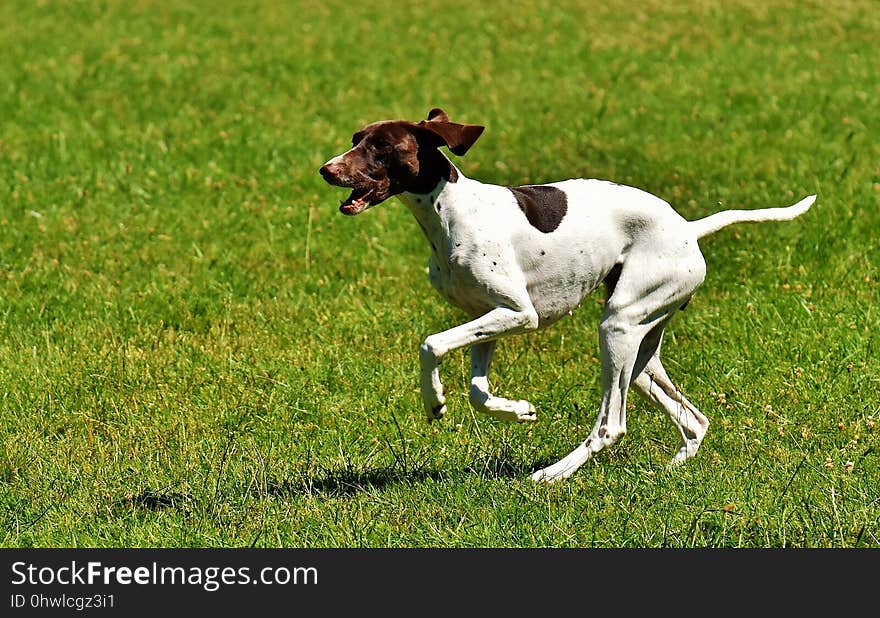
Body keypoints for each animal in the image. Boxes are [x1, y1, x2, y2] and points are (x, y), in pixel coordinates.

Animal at [320, 107, 816, 482]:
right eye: (356, 138)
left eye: (381, 147)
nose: (326, 170)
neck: (451, 213)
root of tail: (687, 229)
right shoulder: (491, 319)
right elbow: (479, 392)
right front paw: (519, 411)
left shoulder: (520, 315)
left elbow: (431, 344)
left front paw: (434, 401)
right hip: (641, 351)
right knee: (694, 420)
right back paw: (667, 471)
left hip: (617, 328)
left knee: (611, 426)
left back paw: (552, 474)